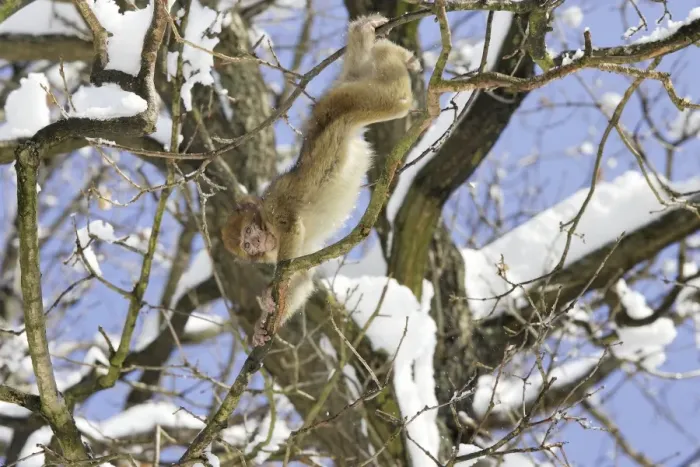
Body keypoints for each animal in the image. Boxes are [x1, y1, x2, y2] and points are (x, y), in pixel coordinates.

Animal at [221, 13, 420, 346]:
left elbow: (292, 234)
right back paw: (372, 44)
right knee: (362, 70)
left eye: (250, 232)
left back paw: (393, 55)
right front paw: (263, 323)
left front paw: (275, 297)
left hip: (342, 104)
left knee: (397, 100)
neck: (266, 220)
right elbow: (303, 276)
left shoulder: (276, 207)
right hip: (347, 90)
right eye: (247, 245)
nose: (258, 242)